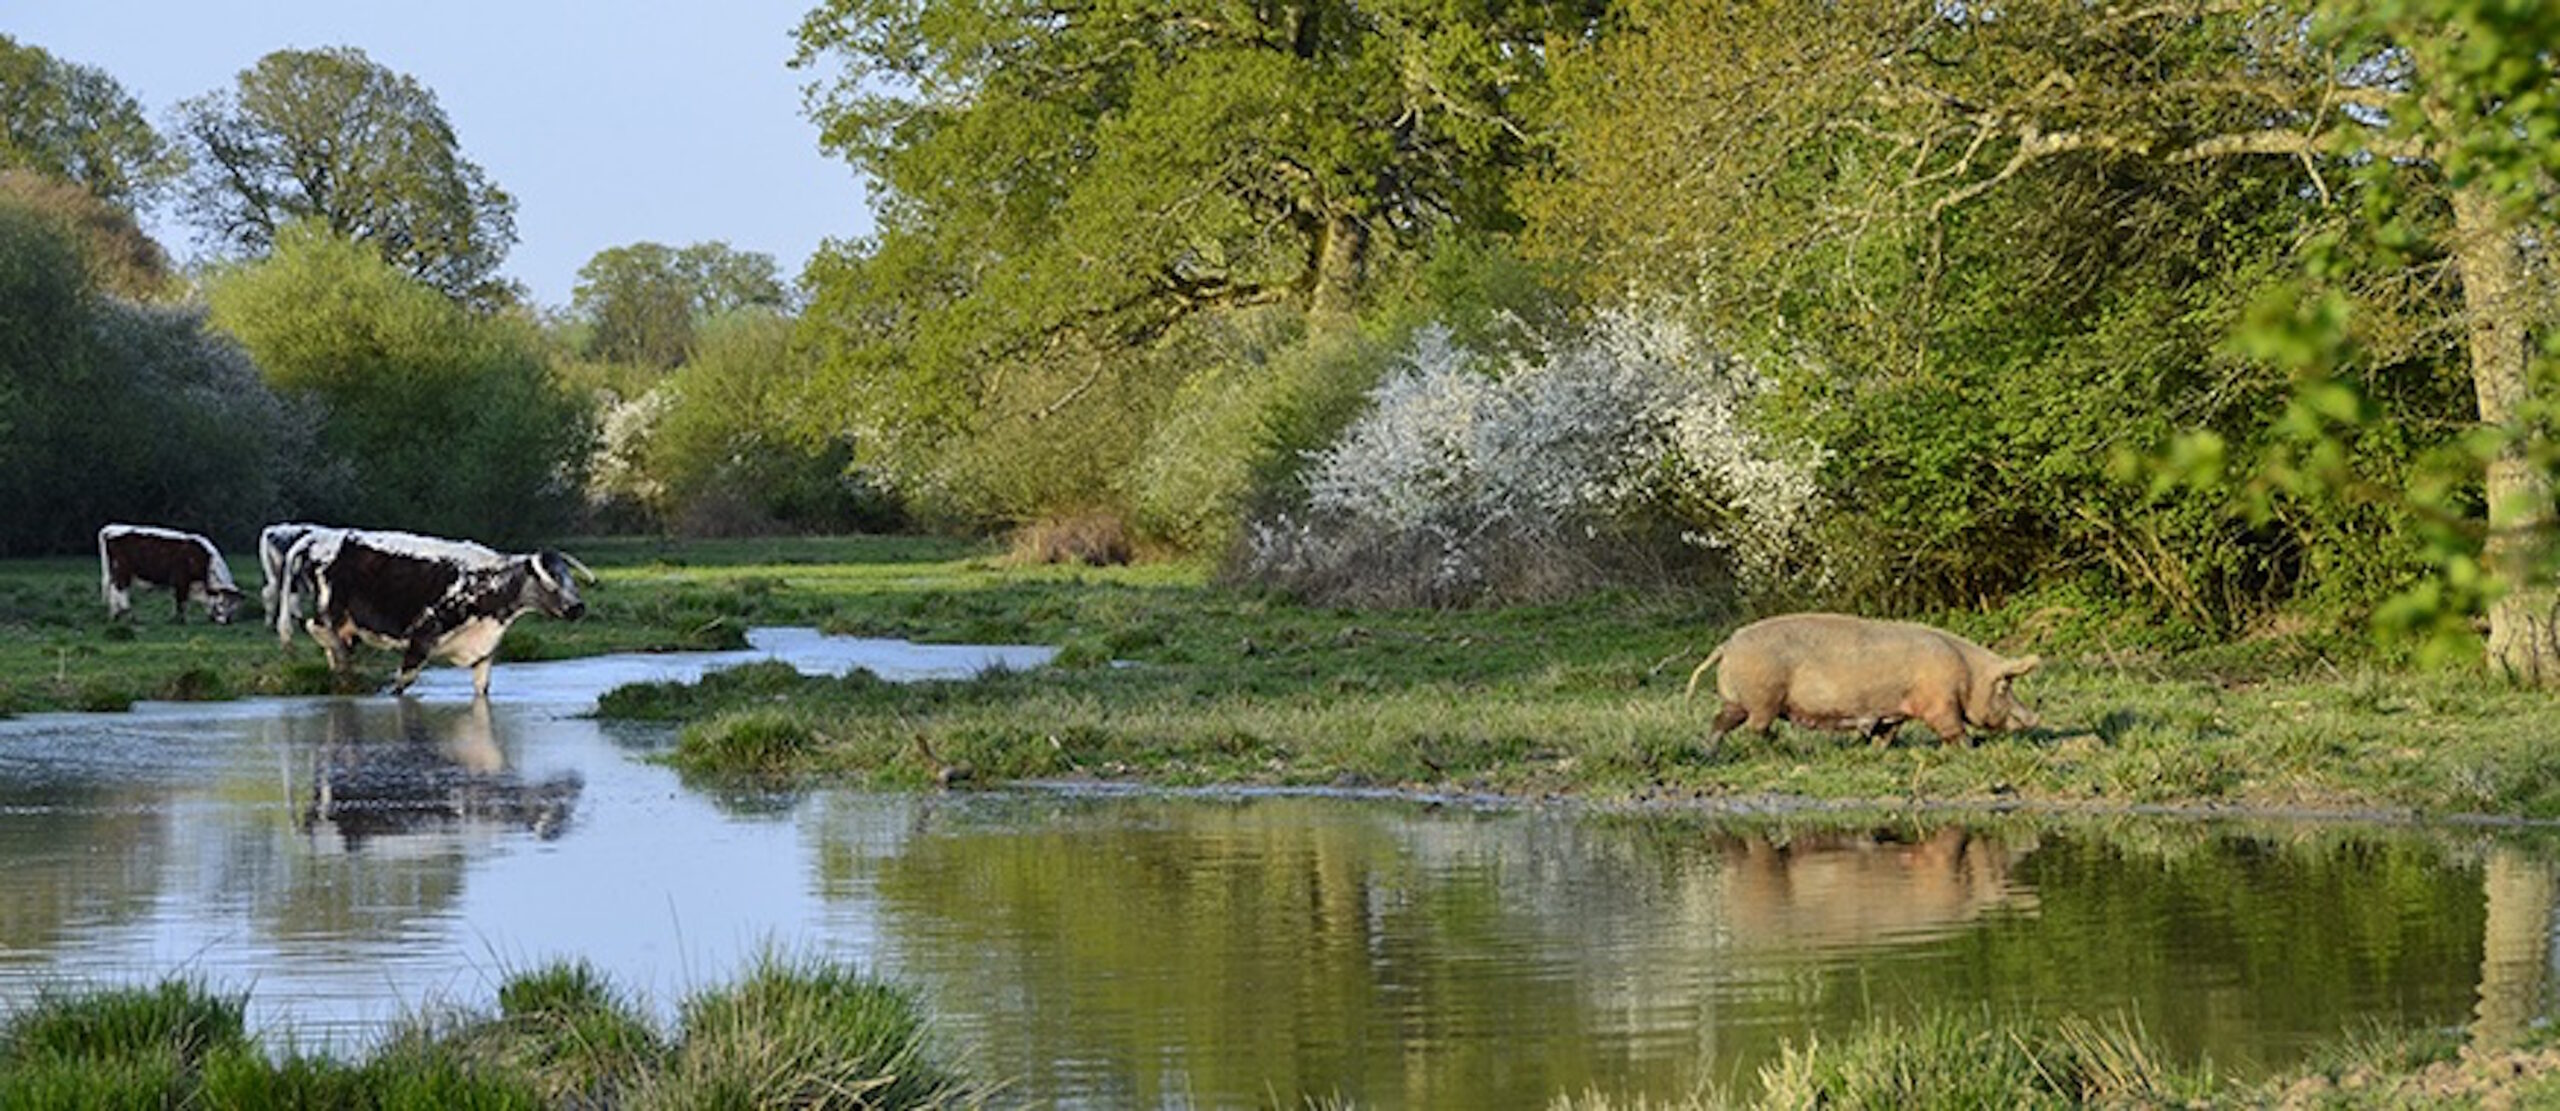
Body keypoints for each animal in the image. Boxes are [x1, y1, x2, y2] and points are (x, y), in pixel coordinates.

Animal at [1685, 613, 2040, 746]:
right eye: (2005, 686)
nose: (2035, 718)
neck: (1967, 675)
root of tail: (1727, 645)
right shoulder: (1939, 702)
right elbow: (1953, 727)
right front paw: (1969, 747)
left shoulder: (1895, 709)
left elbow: (1888, 731)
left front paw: (1878, 749)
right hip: (1763, 698)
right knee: (1755, 728)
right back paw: (1774, 746)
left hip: (1737, 701)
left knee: (1721, 722)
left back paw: (1709, 750)